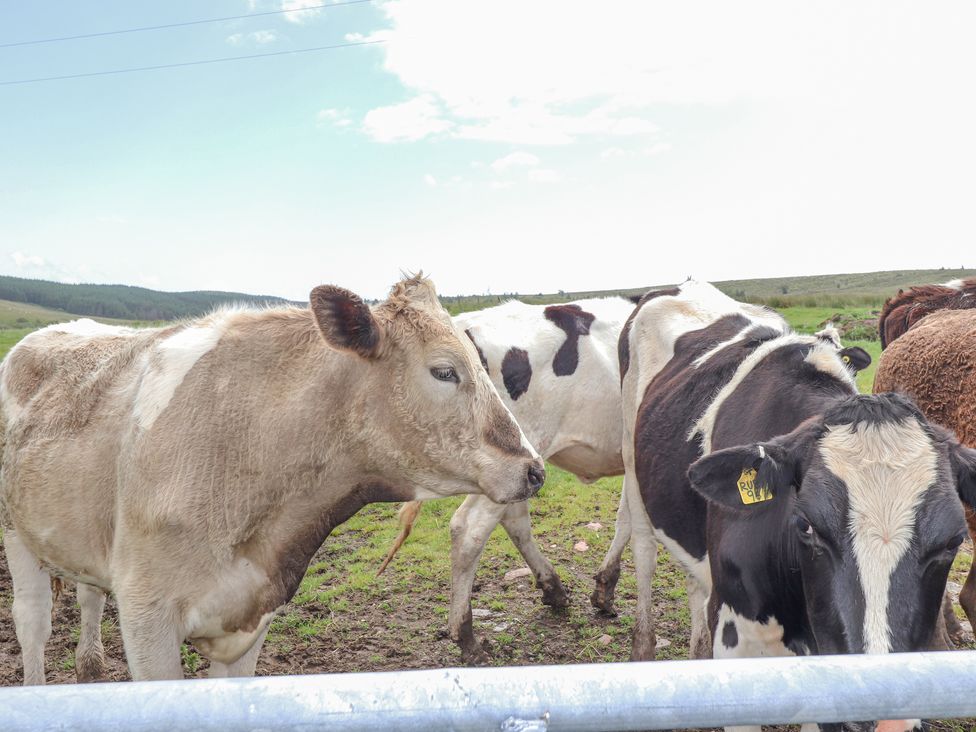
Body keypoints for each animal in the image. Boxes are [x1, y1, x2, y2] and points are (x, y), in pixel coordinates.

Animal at [0, 274, 544, 680]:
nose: (534, 469)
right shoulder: (146, 616)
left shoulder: (251, 616)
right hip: (16, 534)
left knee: (88, 596)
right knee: (32, 626)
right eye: (444, 371)